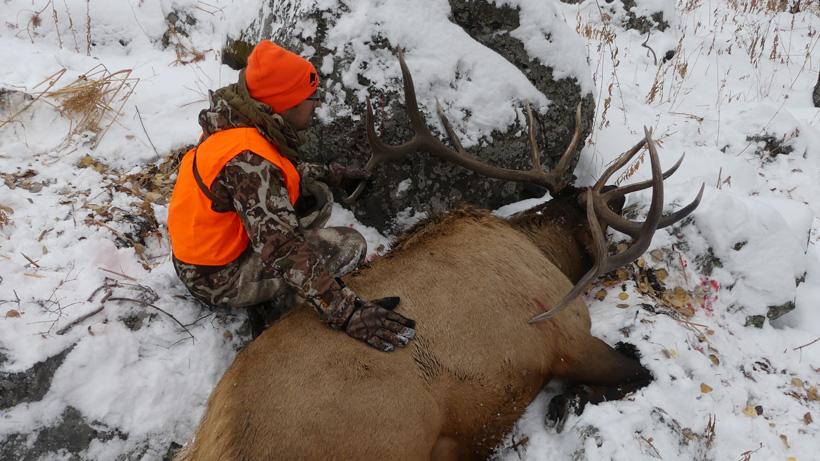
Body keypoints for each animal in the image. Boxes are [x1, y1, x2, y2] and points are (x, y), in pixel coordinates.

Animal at [174, 54, 703, 461]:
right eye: (598, 212)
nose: (619, 196)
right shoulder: (566, 336)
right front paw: (564, 404)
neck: (546, 252)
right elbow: (638, 368)